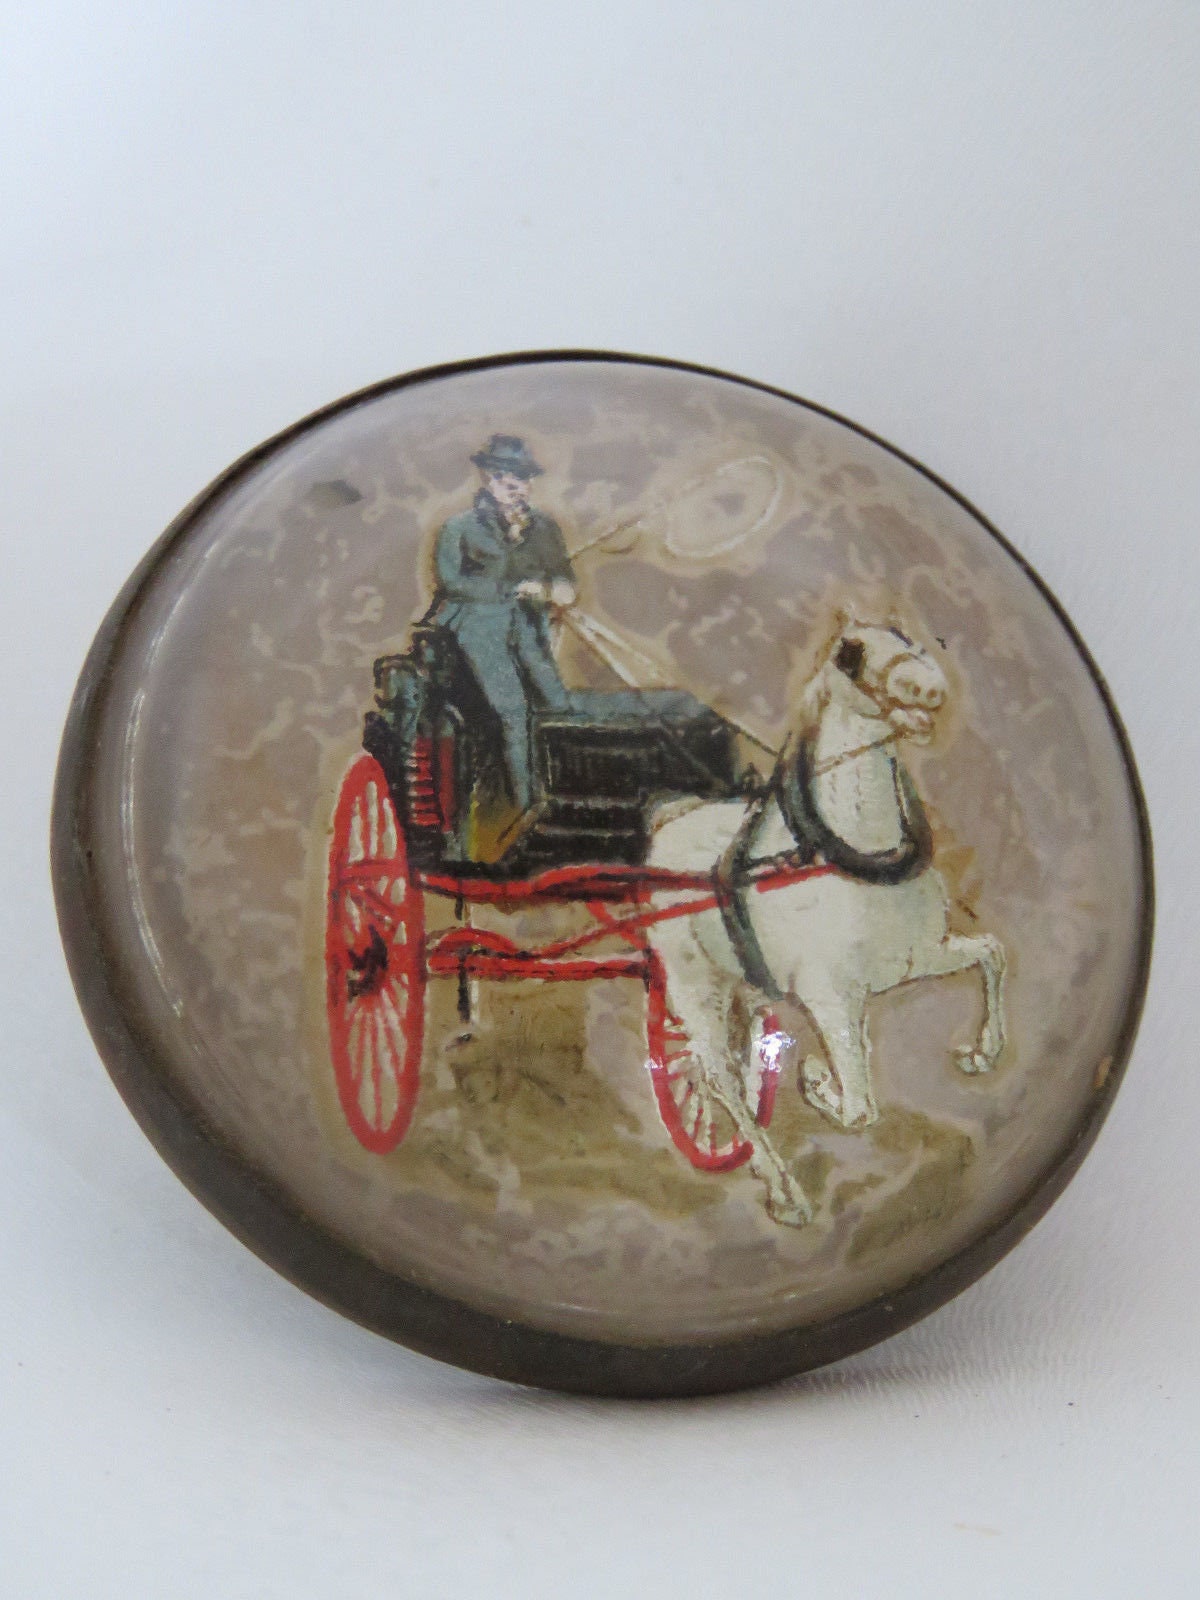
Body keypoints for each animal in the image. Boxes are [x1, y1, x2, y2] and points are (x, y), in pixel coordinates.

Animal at [644, 618, 1006, 1226]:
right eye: (850, 655)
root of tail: (666, 822)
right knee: (716, 1074)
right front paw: (816, 1081)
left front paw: (984, 1051)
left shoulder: (919, 957)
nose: (931, 688)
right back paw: (785, 1191)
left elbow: (991, 954)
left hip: (745, 982)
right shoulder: (830, 999)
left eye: (907, 637)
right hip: (697, 987)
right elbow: (859, 1109)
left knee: (737, 1063)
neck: (855, 859)